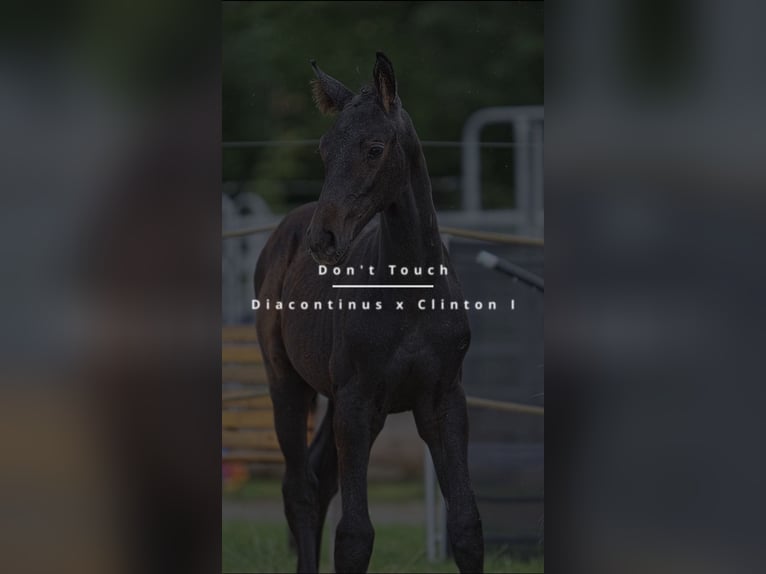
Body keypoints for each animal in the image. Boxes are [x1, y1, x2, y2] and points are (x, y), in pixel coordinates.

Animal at [254, 52, 483, 573]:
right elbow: (355, 536)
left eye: (375, 148)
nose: (324, 239)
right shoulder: (358, 404)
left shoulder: (444, 401)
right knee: (299, 490)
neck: (411, 292)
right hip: (287, 384)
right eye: (323, 150)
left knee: (318, 483)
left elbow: (466, 524)